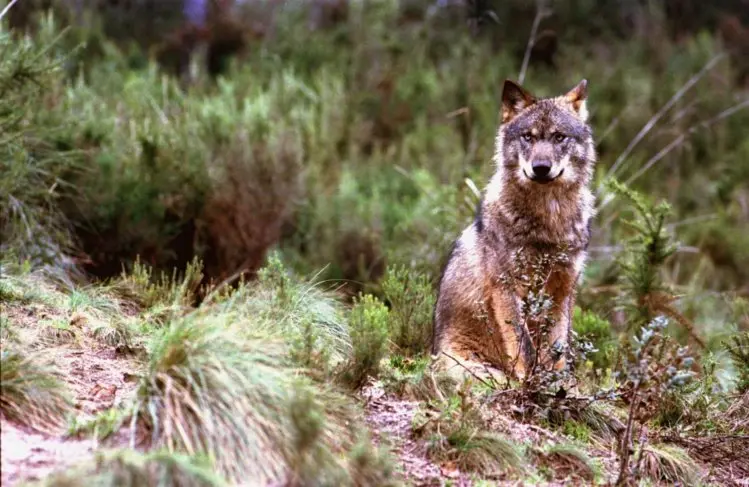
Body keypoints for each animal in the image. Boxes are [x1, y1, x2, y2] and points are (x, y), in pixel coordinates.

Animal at [432, 78, 596, 382]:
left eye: (559, 137)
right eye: (528, 137)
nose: (541, 168)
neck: (549, 221)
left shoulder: (563, 290)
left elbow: (557, 351)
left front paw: (557, 384)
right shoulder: (506, 288)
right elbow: (526, 349)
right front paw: (531, 383)